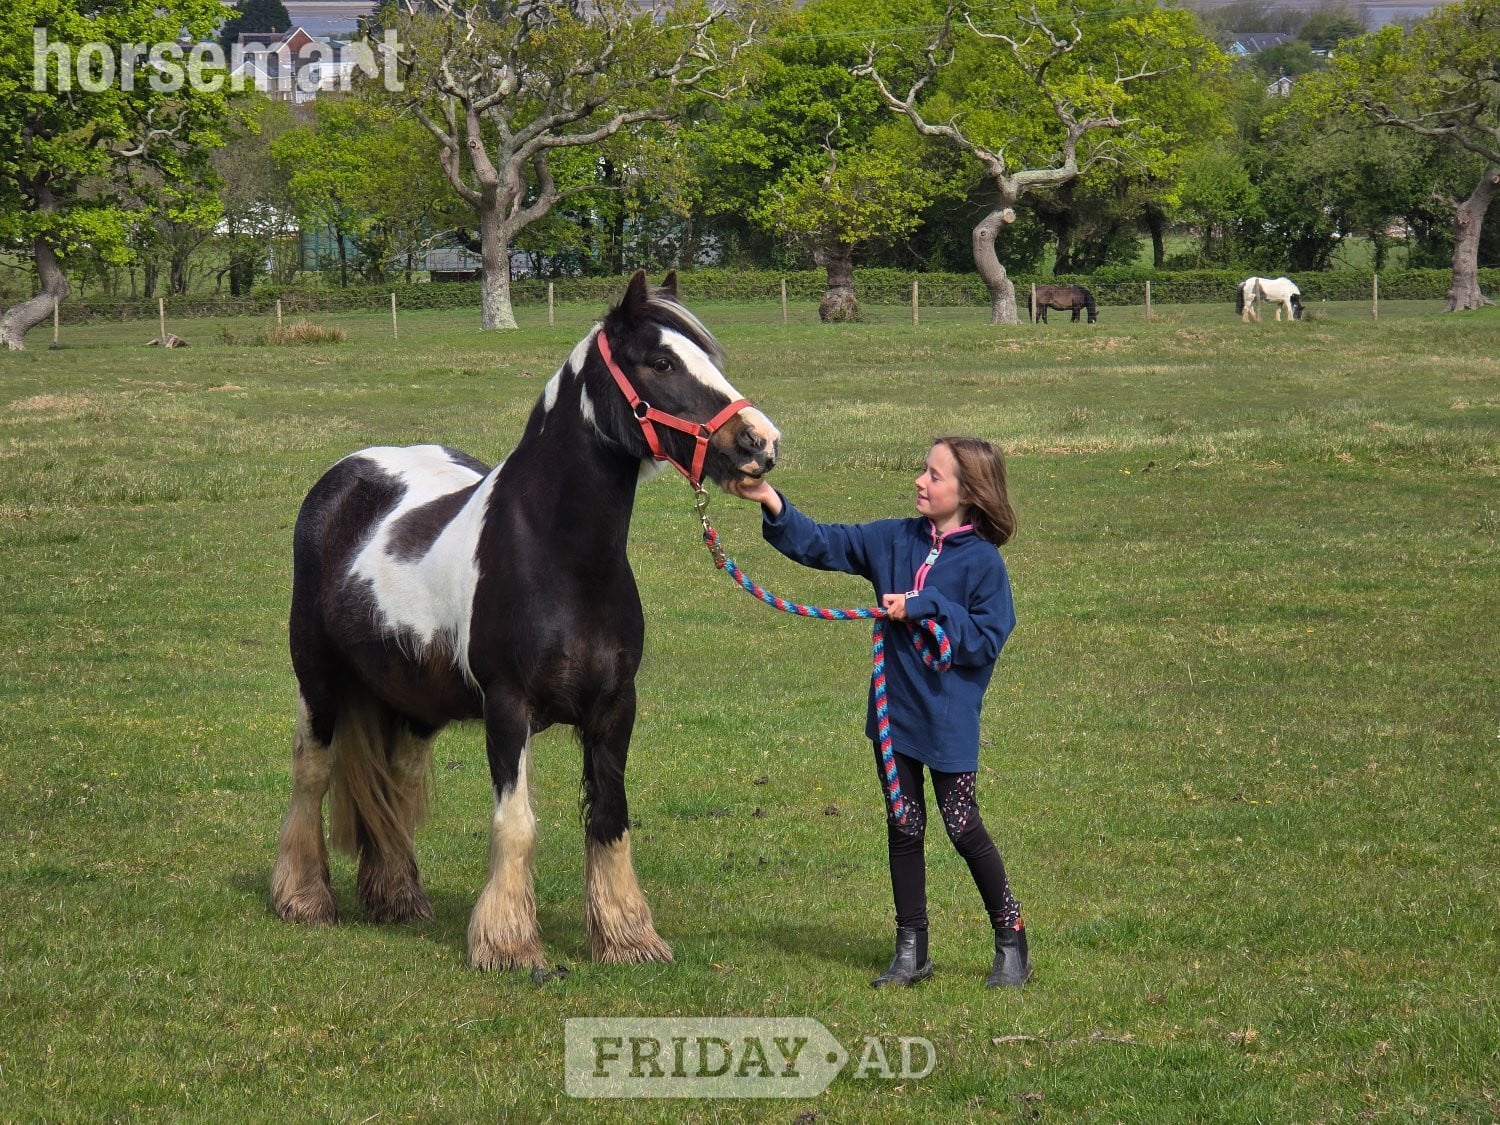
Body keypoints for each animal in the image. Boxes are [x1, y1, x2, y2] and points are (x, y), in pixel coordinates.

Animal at [270, 271, 781, 971]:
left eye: (709, 358)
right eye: (660, 362)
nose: (761, 443)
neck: (558, 557)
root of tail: (345, 477)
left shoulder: (615, 708)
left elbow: (609, 817)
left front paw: (628, 937)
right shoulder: (509, 707)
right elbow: (515, 824)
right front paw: (509, 945)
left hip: (411, 699)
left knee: (396, 785)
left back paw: (398, 898)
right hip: (317, 678)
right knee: (312, 773)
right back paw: (303, 898)